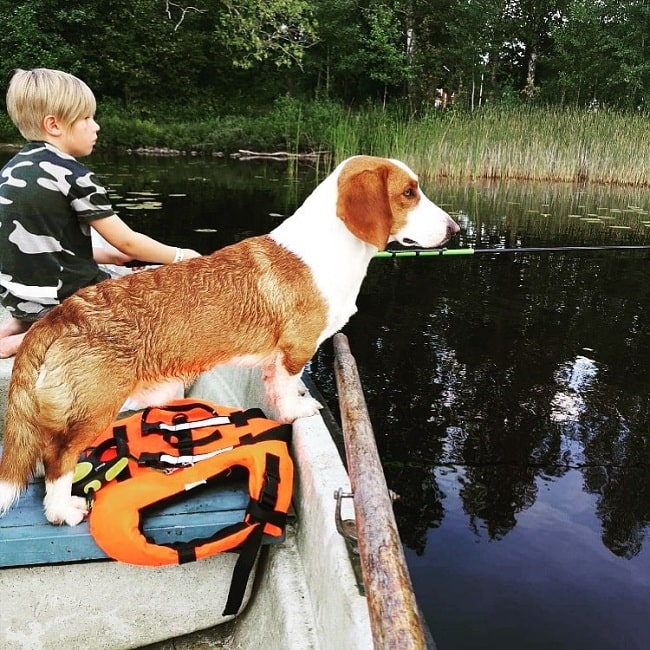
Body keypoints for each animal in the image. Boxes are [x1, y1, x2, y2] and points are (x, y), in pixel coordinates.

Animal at [0, 154, 456, 524]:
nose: (454, 228)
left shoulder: (279, 357)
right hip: (96, 408)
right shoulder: (297, 347)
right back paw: (63, 510)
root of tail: (60, 316)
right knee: (58, 458)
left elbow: (279, 384)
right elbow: (288, 387)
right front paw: (297, 409)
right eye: (409, 193)